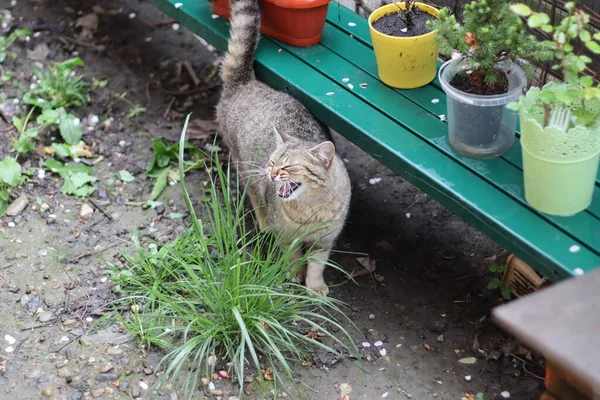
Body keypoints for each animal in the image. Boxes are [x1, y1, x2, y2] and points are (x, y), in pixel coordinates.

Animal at [214, 0, 352, 296]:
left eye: (289, 166)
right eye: (272, 162)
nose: (272, 174)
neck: (311, 208)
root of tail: (246, 82)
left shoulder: (324, 240)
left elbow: (317, 265)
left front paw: (315, 287)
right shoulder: (288, 236)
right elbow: (292, 256)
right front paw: (293, 274)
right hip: (244, 167)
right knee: (254, 196)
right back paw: (264, 222)